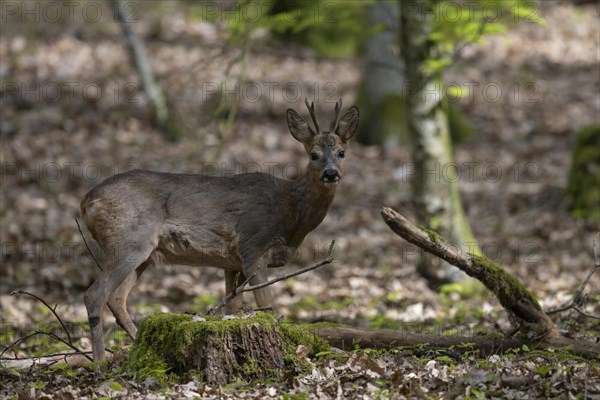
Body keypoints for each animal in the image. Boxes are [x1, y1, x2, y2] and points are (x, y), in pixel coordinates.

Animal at [81, 97, 358, 362]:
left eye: (342, 152)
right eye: (313, 155)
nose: (330, 174)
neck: (292, 215)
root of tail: (87, 201)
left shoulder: (232, 263)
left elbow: (231, 309)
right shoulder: (253, 247)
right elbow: (267, 307)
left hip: (143, 254)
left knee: (116, 298)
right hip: (130, 241)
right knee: (95, 295)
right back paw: (99, 364)